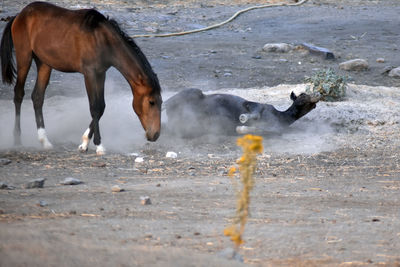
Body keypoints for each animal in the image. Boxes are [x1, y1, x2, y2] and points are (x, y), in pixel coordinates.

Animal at [0, 1, 162, 155]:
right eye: (151, 102)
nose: (155, 135)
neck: (103, 40)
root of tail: (19, 15)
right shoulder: (89, 74)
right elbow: (95, 107)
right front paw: (99, 145)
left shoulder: (100, 74)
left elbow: (101, 107)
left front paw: (84, 144)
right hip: (24, 57)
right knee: (19, 94)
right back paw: (17, 139)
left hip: (44, 64)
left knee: (37, 98)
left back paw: (44, 141)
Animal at [164, 89, 320, 138]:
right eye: (303, 96)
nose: (317, 95)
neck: (281, 117)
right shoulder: (254, 104)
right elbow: (254, 111)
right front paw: (244, 120)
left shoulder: (276, 129)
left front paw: (242, 128)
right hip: (193, 92)